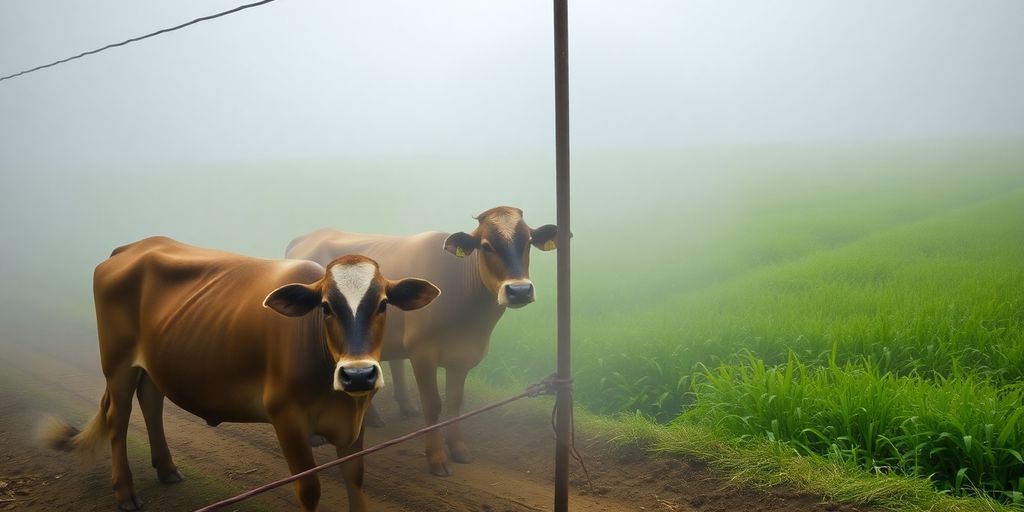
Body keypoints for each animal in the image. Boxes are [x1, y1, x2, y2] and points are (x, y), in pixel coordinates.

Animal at [41, 236, 440, 511]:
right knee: (118, 418)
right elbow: (309, 489)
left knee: (151, 402)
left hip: (154, 362)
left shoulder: (353, 419)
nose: (358, 376)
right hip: (118, 363)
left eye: (384, 304)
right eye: (326, 307)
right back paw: (125, 492)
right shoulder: (286, 416)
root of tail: (132, 247)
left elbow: (356, 482)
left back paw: (167, 470)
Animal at [285, 206, 559, 476]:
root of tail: (305, 239)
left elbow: (455, 404)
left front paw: (458, 448)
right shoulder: (422, 352)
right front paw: (437, 457)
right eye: (486, 245)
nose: (519, 291)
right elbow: (433, 404)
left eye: (528, 242)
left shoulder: (463, 356)